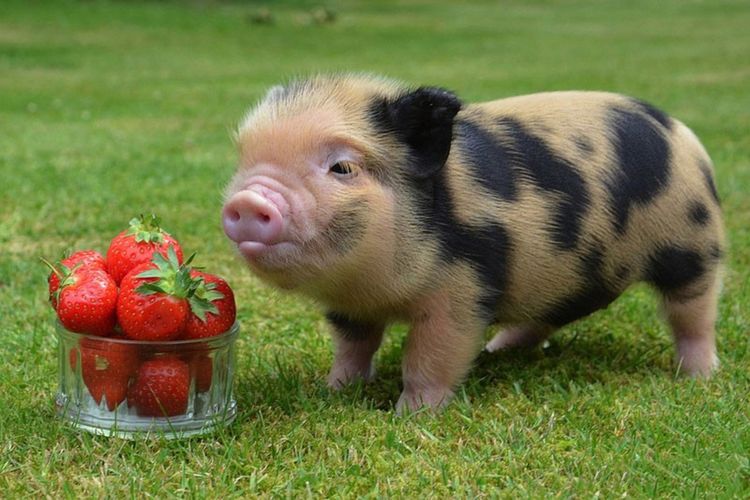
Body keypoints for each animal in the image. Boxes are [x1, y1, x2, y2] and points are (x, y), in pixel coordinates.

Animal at [222, 74, 724, 412]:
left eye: (342, 167)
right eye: (244, 159)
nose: (249, 200)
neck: (376, 286)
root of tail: (680, 131)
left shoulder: (462, 290)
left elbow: (430, 354)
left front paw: (409, 415)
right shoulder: (348, 306)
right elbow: (353, 347)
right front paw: (336, 390)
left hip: (693, 242)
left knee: (693, 312)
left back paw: (699, 377)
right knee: (549, 315)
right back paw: (499, 348)